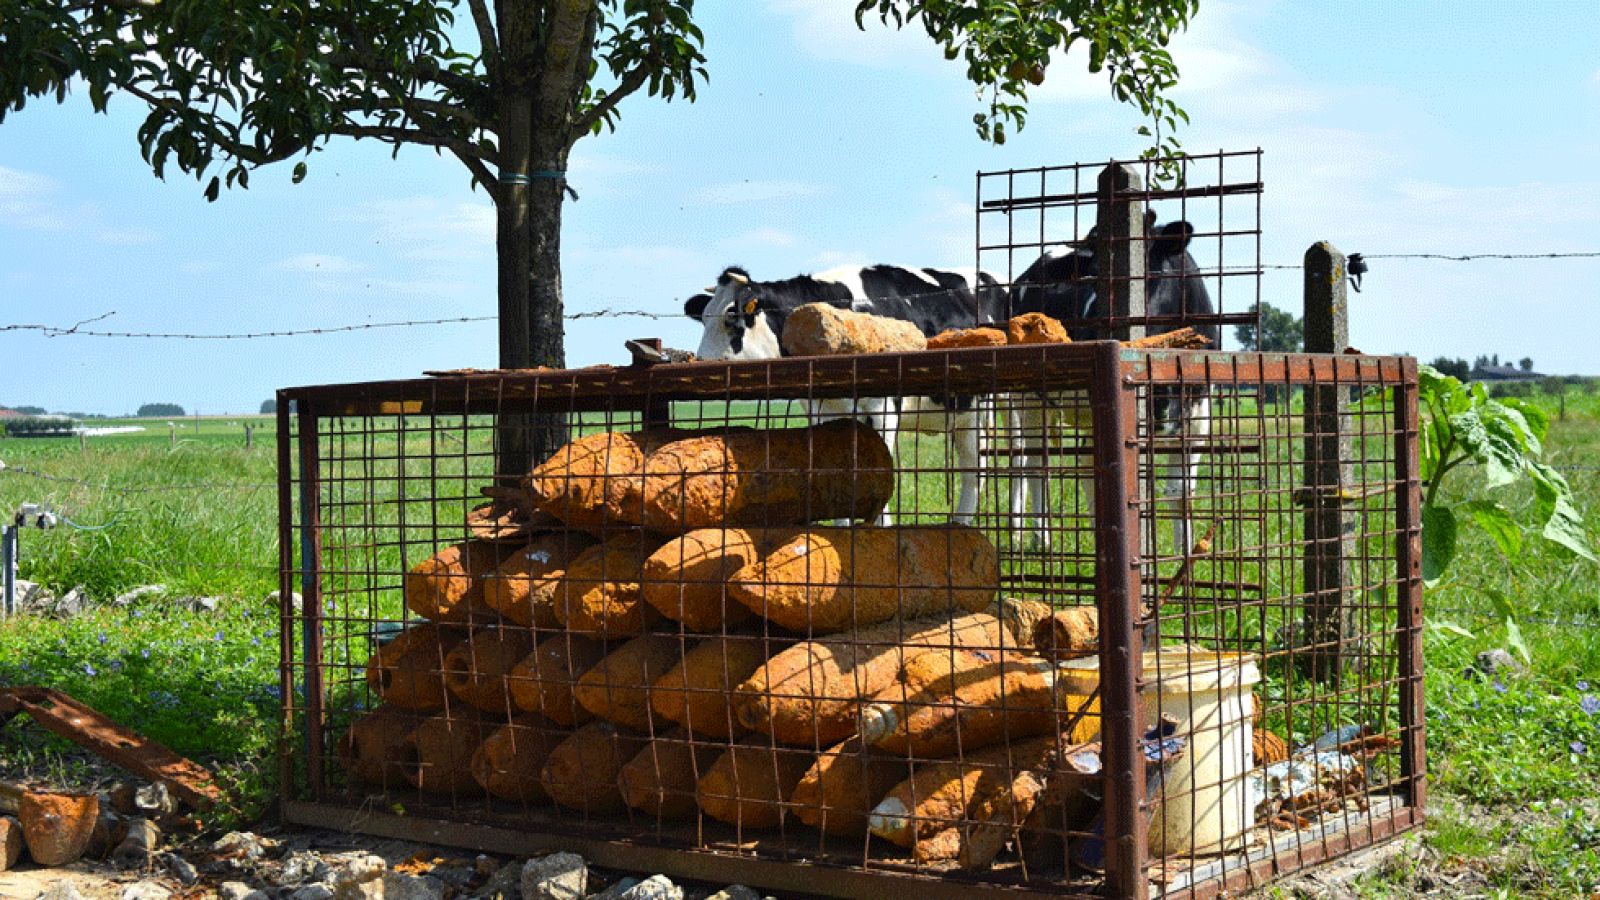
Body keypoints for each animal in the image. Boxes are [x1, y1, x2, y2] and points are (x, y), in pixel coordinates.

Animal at [684, 262, 1004, 522]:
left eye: (731, 319)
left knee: (984, 470)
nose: (699, 363)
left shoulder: (883, 411)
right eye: (704, 317)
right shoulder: (822, 412)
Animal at [1004, 212, 1216, 547]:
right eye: (1090, 276)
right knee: (1036, 462)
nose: (1094, 332)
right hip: (1028, 400)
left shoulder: (1197, 417)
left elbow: (1181, 494)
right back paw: (1041, 538)